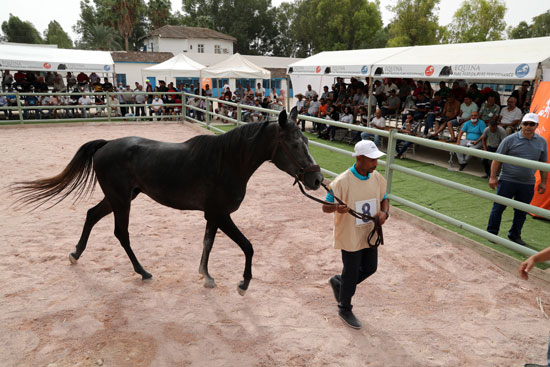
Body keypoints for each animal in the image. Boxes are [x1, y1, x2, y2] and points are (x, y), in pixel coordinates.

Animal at [11, 107, 324, 296]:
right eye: (294, 144)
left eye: (308, 141)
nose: (317, 179)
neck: (228, 161)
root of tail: (106, 144)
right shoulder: (221, 214)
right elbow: (248, 246)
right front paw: (243, 283)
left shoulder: (213, 215)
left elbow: (208, 243)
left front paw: (205, 275)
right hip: (121, 200)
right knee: (121, 233)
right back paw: (142, 272)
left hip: (118, 197)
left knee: (90, 215)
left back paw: (76, 253)